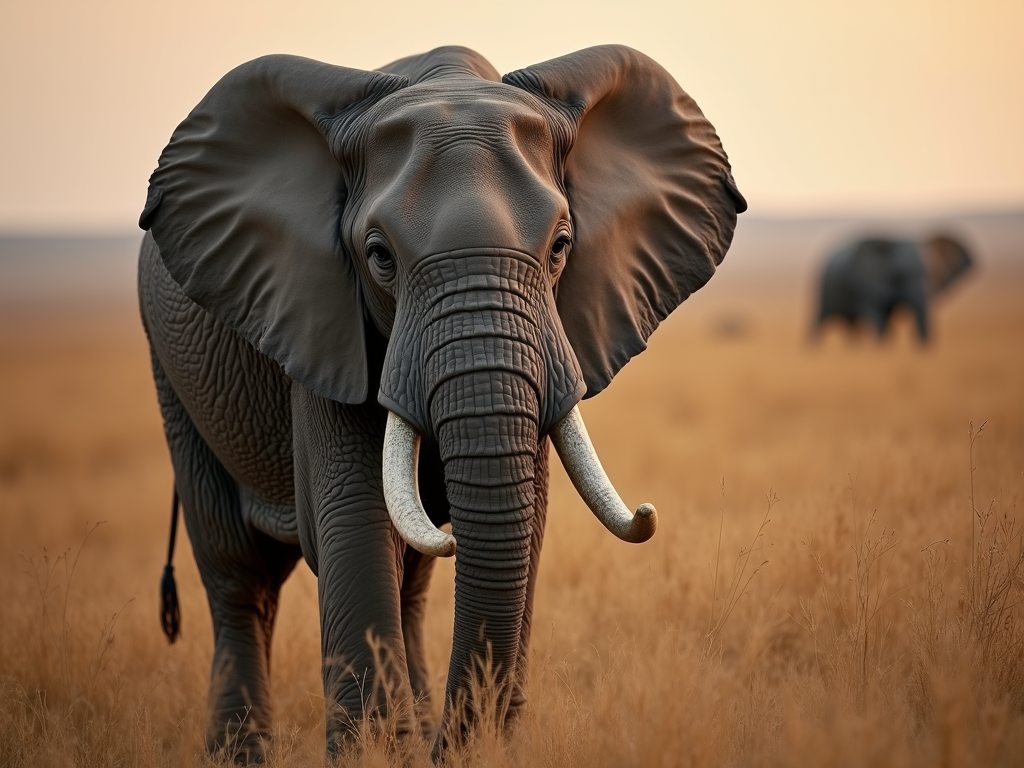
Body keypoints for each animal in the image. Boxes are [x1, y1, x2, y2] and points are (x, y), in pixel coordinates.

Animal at [137, 44, 745, 760]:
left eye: (561, 247)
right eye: (379, 257)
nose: (650, 513)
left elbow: (528, 515)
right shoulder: (322, 324)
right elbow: (353, 516)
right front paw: (377, 757)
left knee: (411, 576)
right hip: (172, 370)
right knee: (238, 572)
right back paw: (241, 754)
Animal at [813, 233, 972, 341]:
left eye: (932, 275)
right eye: (900, 276)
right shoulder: (865, 287)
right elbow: (877, 316)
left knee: (852, 325)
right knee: (819, 320)